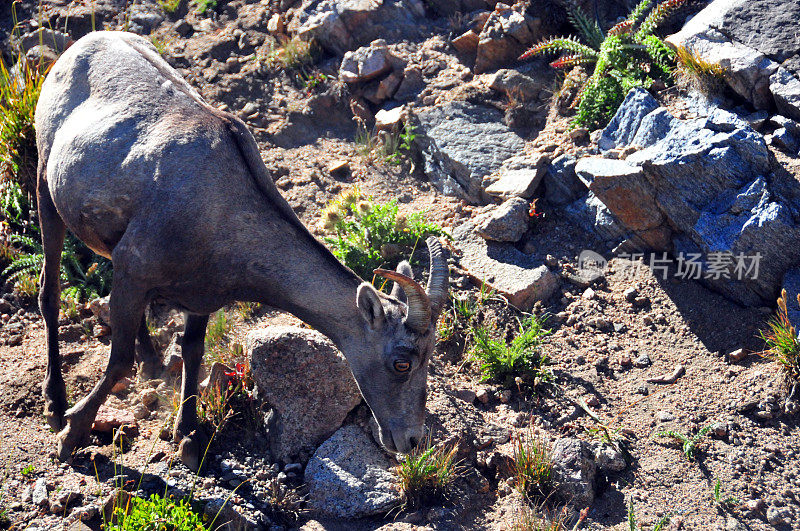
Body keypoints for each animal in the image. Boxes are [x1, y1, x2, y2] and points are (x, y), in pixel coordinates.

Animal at [34, 31, 446, 468]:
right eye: (402, 361)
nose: (410, 440)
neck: (222, 207)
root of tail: (81, 45)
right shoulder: (135, 269)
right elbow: (118, 361)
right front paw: (71, 434)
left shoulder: (199, 298)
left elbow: (192, 352)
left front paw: (189, 439)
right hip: (46, 188)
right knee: (50, 294)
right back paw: (54, 401)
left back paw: (151, 361)